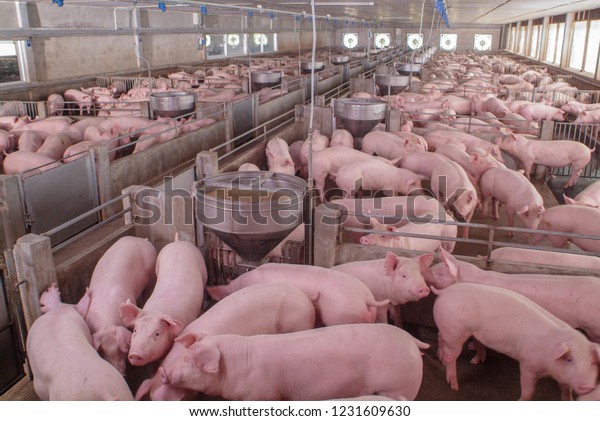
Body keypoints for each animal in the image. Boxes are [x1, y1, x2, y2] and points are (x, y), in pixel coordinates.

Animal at [119, 236, 209, 364]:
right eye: (135, 330)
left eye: (157, 333)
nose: (135, 354)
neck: (156, 310)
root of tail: (178, 242)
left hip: (203, 269)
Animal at [161, 324, 432, 398]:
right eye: (184, 355)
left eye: (192, 361)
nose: (163, 371)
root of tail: (411, 341)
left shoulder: (263, 395)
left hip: (399, 386)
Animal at [434, 280, 596, 398]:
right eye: (569, 359)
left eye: (593, 362)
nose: (589, 386)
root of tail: (444, 291)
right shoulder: (528, 364)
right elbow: (528, 390)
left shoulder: (563, 375)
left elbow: (566, 389)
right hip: (455, 331)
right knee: (451, 357)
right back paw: (455, 386)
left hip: (449, 330)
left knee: (440, 337)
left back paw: (454, 360)